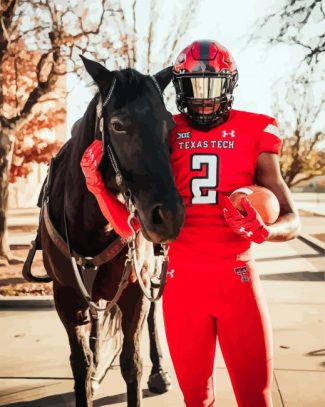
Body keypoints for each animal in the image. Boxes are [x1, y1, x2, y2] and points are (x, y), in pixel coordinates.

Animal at [33, 58, 185, 407]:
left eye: (170, 125)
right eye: (117, 125)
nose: (169, 216)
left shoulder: (134, 292)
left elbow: (132, 362)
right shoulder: (65, 295)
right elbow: (81, 363)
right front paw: (90, 376)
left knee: (152, 314)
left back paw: (160, 372)